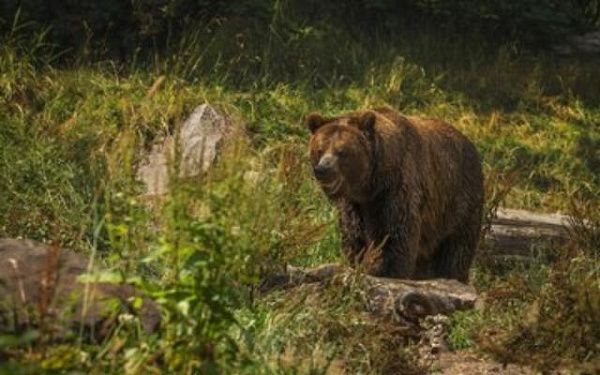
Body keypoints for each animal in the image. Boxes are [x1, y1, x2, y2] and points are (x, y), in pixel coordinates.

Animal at [308, 106, 486, 282]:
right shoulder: (354, 204)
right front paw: (360, 262)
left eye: (342, 152)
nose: (323, 169)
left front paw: (383, 269)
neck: (370, 186)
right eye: (319, 149)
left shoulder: (396, 189)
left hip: (458, 203)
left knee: (457, 250)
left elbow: (395, 233)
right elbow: (353, 234)